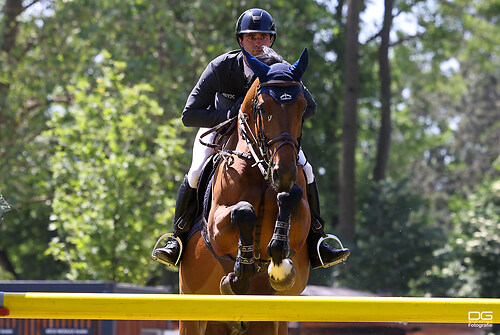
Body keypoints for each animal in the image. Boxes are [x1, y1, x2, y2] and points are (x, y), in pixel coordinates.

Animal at [178, 48, 310, 335]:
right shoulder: (216, 228)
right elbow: (243, 211)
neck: (260, 169)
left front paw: (279, 265)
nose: (283, 173)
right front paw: (239, 274)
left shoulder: (300, 222)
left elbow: (290, 199)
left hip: (271, 324)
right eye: (263, 108)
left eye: (303, 107)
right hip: (191, 313)